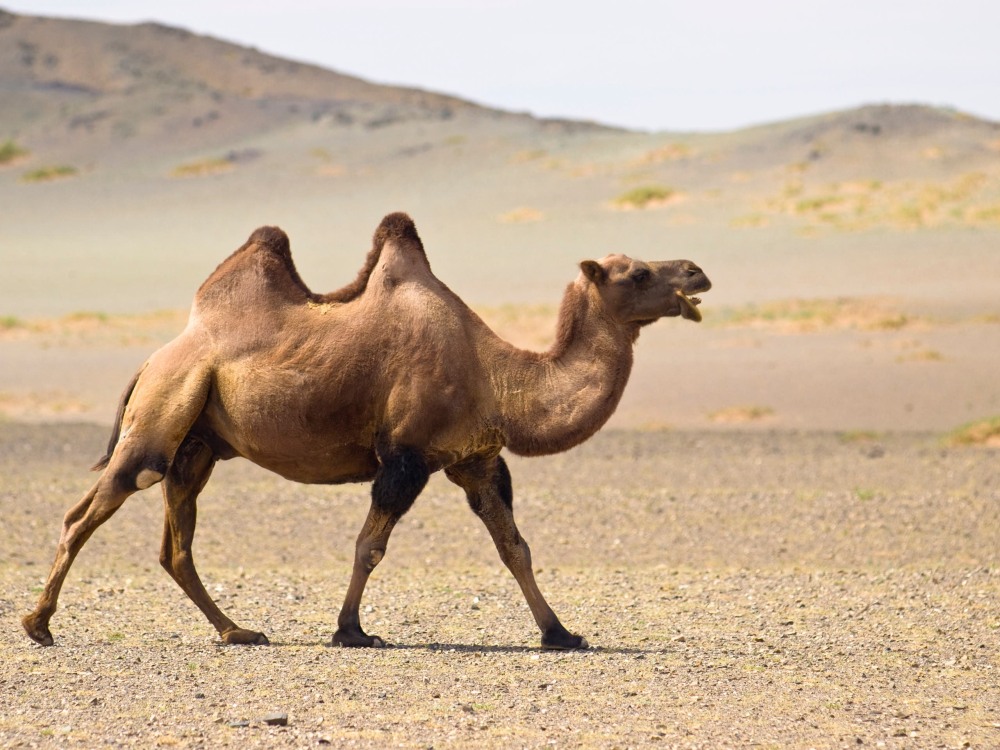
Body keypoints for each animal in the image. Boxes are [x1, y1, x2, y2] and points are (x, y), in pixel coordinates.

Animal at [22, 212, 711, 650]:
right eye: (638, 273)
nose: (697, 271)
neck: (496, 373)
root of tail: (153, 358)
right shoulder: (405, 455)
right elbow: (369, 545)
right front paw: (351, 630)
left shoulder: (475, 459)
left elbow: (514, 546)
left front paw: (560, 633)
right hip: (163, 412)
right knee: (92, 508)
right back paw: (39, 624)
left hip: (198, 444)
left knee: (174, 543)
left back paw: (237, 631)